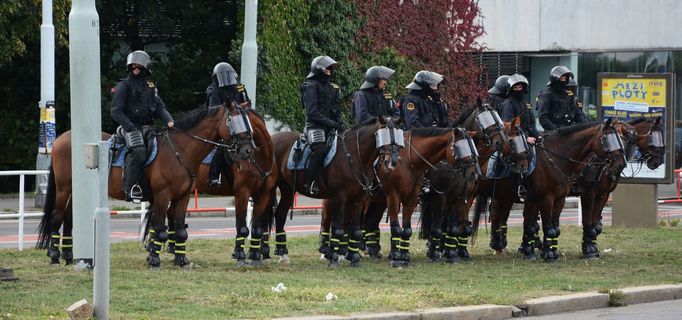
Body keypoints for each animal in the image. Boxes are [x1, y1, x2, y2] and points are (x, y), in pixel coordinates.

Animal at [37, 103, 239, 268]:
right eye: (233, 121)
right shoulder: (162, 196)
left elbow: (180, 230)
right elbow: (160, 230)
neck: (179, 151)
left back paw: (68, 255)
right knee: (56, 216)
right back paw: (54, 256)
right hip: (64, 188)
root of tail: (61, 139)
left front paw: (181, 260)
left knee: (69, 218)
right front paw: (154, 260)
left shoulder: (183, 198)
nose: (244, 148)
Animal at [270, 117, 398, 268]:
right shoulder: (339, 197)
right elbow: (337, 228)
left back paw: (282, 254)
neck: (353, 154)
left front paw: (354, 258)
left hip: (288, 189)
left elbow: (355, 230)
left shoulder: (358, 199)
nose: (392, 161)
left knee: (280, 215)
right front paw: (334, 259)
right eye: (383, 135)